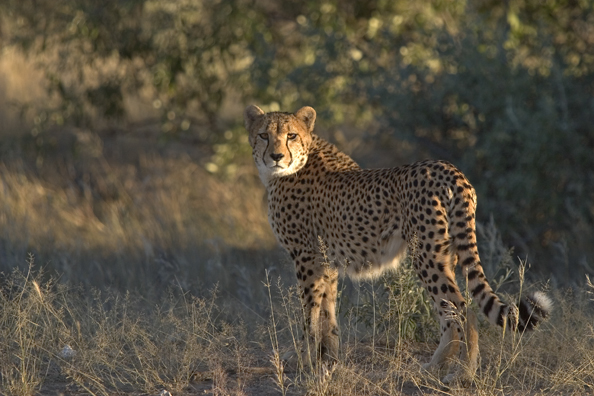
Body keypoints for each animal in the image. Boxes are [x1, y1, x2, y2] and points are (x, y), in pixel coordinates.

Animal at [243, 105, 548, 384]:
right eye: (263, 135)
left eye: (291, 135)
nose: (276, 156)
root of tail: (448, 168)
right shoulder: (326, 262)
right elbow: (328, 315)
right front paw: (328, 361)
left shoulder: (306, 257)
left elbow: (310, 314)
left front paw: (303, 358)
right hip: (444, 253)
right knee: (448, 314)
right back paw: (433, 368)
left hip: (425, 254)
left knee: (464, 311)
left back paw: (464, 373)